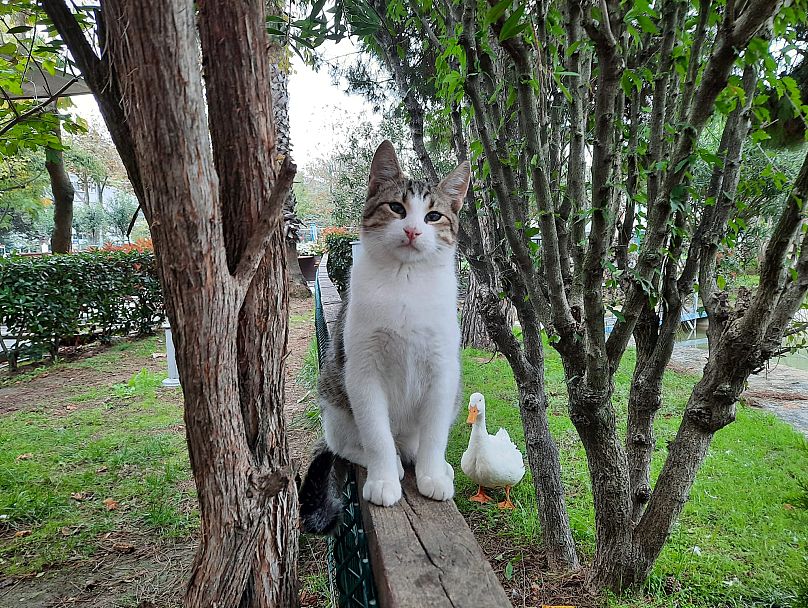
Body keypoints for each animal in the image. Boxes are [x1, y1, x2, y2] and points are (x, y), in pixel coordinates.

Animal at [300, 139, 470, 532]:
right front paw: (383, 478)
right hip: (334, 399)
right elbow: (376, 434)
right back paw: (387, 461)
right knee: (347, 444)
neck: (405, 279)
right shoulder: (362, 371)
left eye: (433, 216)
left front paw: (432, 473)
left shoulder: (443, 370)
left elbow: (435, 433)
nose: (412, 231)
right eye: (397, 208)